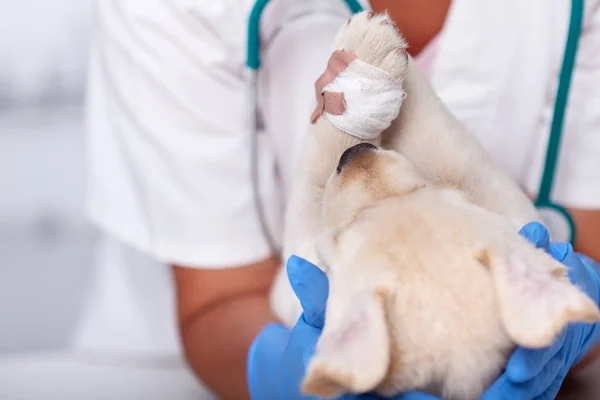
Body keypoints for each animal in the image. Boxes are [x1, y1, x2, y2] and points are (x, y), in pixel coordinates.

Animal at [272, 10, 600, 400]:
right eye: (433, 194)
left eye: (347, 232)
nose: (356, 153)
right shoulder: (517, 215)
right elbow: (453, 153)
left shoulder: (308, 248)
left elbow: (326, 168)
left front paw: (368, 56)